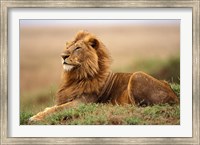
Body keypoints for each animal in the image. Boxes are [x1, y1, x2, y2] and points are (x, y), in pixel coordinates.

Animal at [28, 30, 179, 122]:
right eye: (68, 47)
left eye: (78, 48)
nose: (62, 56)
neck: (76, 76)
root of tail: (175, 96)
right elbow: (51, 107)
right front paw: (38, 113)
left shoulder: (82, 102)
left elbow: (57, 109)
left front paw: (35, 118)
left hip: (137, 75)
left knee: (138, 106)